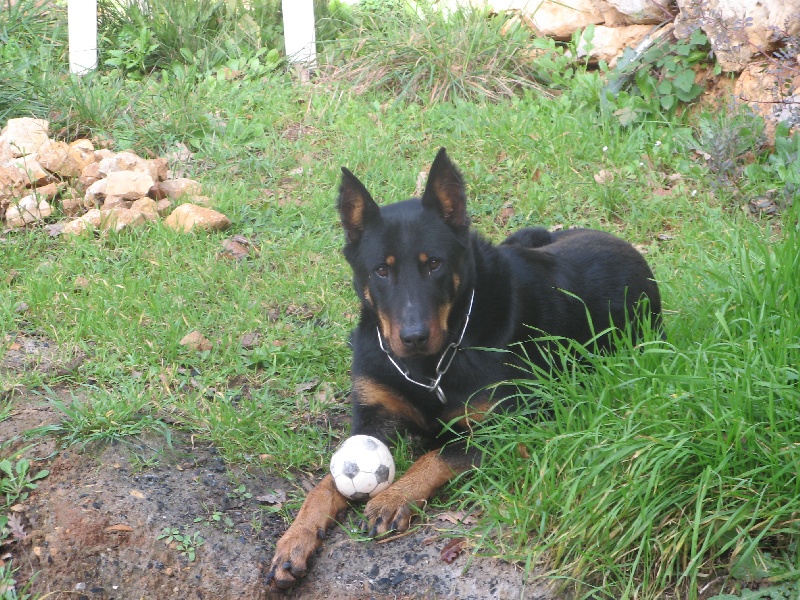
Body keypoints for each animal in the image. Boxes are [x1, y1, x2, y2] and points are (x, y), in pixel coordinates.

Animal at [266, 148, 662, 589]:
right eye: (381, 270)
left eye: (434, 265)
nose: (414, 336)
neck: (431, 365)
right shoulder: (373, 419)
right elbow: (325, 484)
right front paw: (296, 538)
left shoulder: (511, 426)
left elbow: (439, 454)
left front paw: (394, 496)